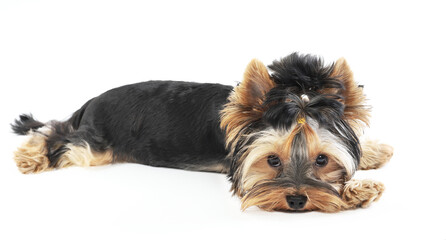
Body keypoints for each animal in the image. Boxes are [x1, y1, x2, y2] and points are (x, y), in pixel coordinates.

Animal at [11, 52, 394, 212]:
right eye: (272, 160)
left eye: (322, 159)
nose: (298, 200)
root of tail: (92, 100)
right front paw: (358, 190)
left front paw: (372, 154)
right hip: (97, 141)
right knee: (60, 135)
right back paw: (29, 157)